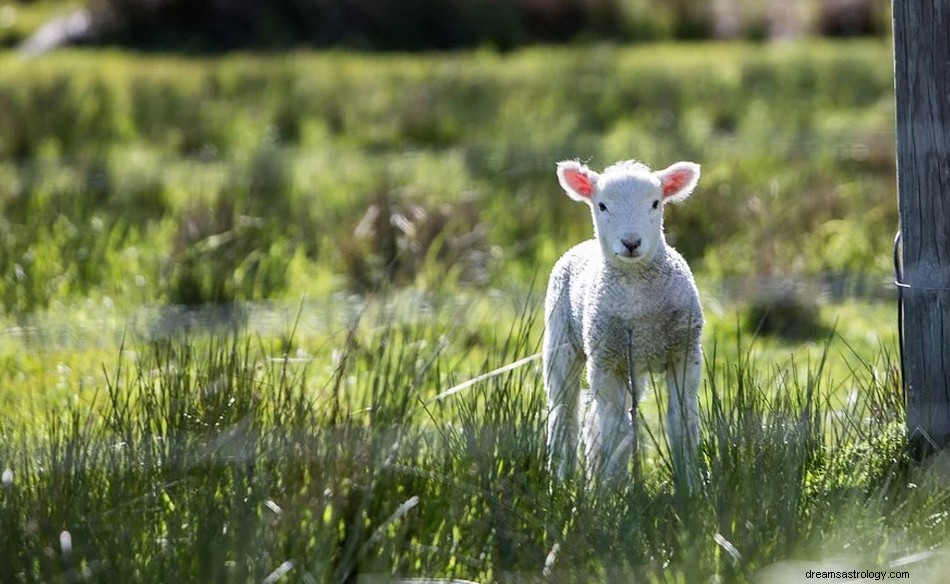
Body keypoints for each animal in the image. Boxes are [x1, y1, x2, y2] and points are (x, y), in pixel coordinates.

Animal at [544, 159, 708, 484]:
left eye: (656, 203)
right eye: (602, 205)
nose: (631, 243)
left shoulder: (685, 353)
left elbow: (681, 422)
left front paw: (690, 484)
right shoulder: (606, 361)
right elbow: (616, 430)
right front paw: (613, 489)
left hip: (635, 367)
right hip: (561, 343)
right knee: (565, 414)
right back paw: (562, 480)